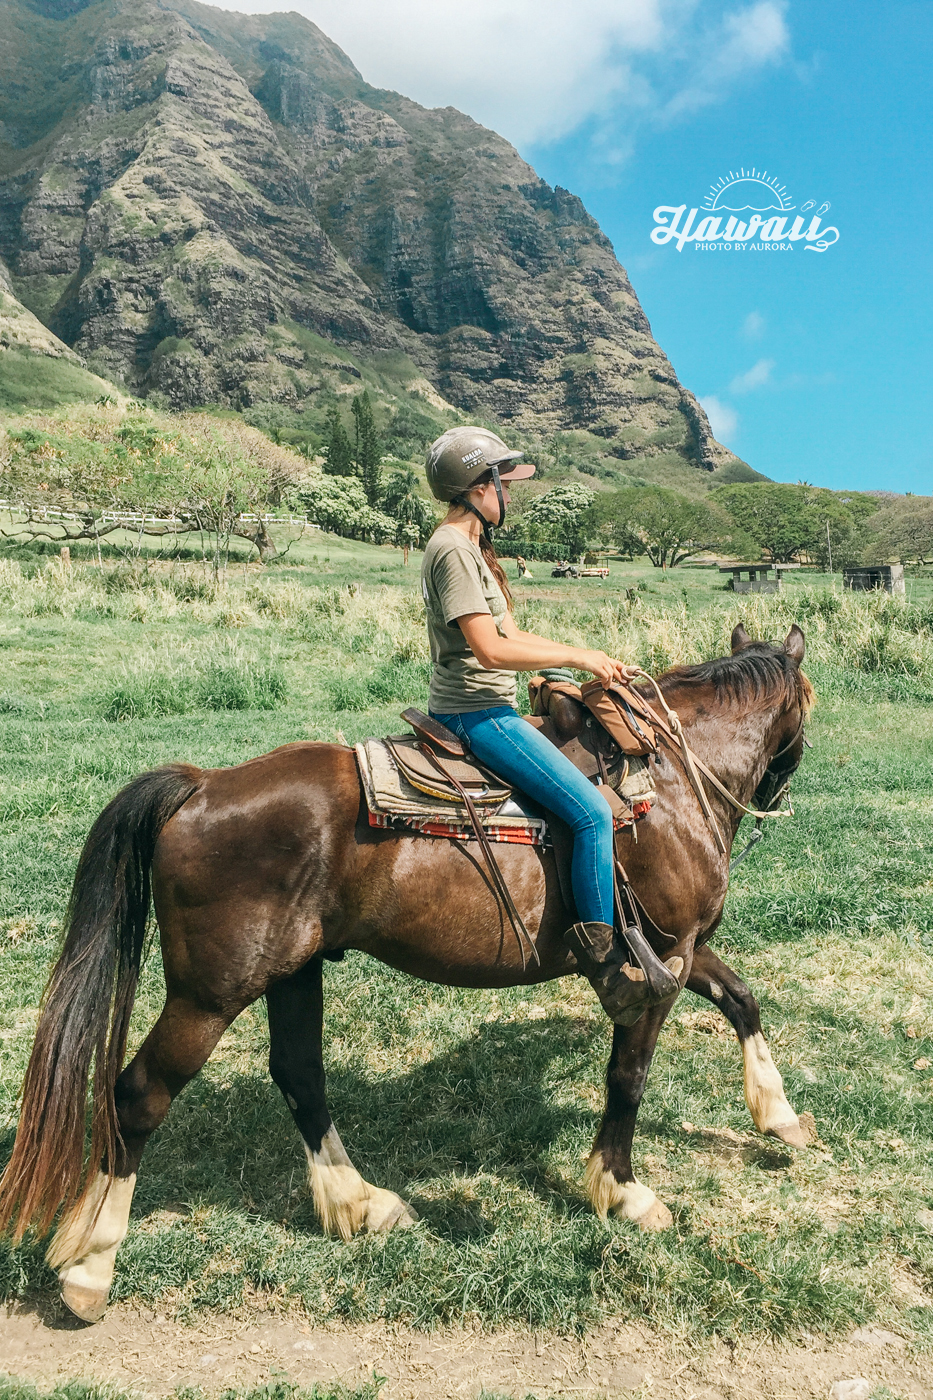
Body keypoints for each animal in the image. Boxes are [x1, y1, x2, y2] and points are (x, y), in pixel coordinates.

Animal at [0, 624, 812, 1321]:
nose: (775, 794)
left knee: (299, 1075)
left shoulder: (679, 949)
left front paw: (778, 1115)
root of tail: (202, 785)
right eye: (807, 707)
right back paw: (90, 1267)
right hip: (209, 995)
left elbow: (742, 1000)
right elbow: (628, 1078)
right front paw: (623, 1192)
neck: (669, 780)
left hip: (293, 971)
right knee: (140, 1095)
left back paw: (359, 1202)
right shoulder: (659, 962)